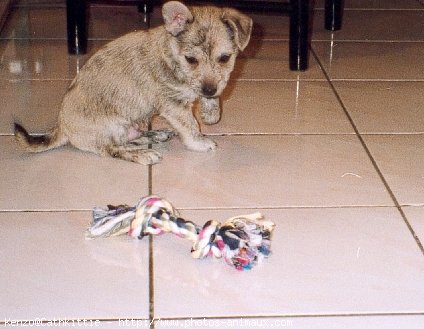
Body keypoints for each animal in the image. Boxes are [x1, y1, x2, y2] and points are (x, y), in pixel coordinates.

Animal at [14, 0, 252, 164]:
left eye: (225, 58)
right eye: (191, 60)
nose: (209, 90)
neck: (173, 58)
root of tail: (61, 128)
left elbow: (212, 99)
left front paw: (211, 113)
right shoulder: (174, 106)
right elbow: (190, 125)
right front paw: (200, 142)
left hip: (127, 125)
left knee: (128, 139)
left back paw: (155, 135)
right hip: (109, 129)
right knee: (113, 149)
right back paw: (144, 154)